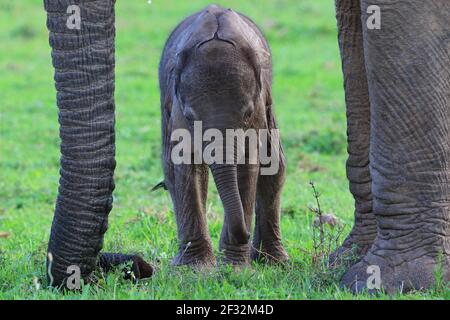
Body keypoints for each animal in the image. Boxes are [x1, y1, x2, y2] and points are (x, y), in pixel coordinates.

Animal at [158, 4, 288, 264]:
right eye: (189, 116)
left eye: (248, 113)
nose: (244, 234)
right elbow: (185, 166)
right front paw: (194, 267)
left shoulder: (258, 113)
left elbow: (249, 166)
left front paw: (235, 266)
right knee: (171, 169)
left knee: (275, 167)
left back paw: (275, 262)